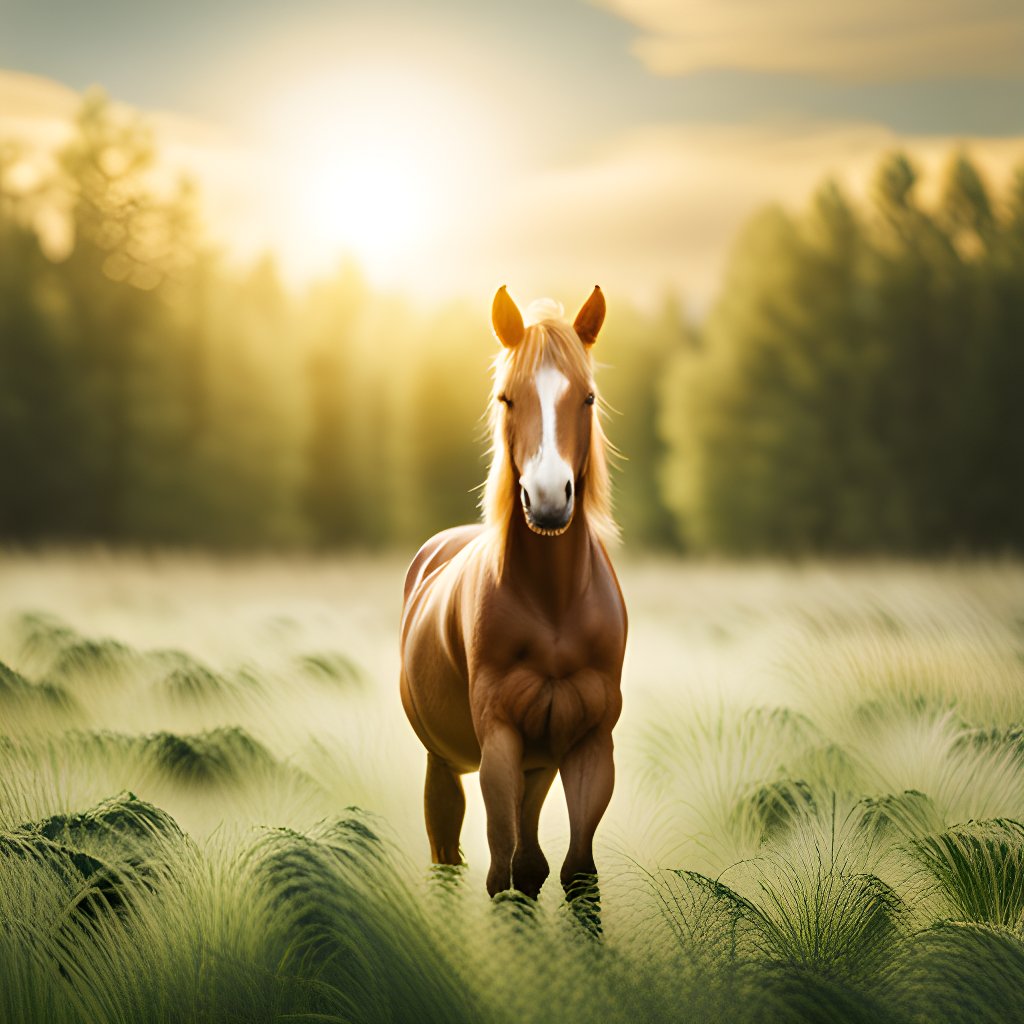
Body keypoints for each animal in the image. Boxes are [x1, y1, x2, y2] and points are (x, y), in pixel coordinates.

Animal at [399, 285, 627, 900]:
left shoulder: (589, 743)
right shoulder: (498, 739)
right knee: (448, 850)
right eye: (507, 398)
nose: (547, 499)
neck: (552, 603)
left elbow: (574, 872)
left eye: (588, 398)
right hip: (443, 762)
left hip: (539, 762)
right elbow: (503, 869)